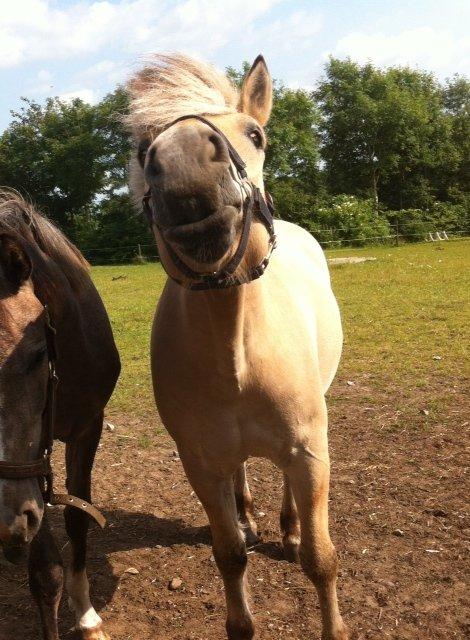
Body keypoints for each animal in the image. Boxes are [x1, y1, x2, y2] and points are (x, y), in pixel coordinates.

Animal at [126, 52, 346, 636]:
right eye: (143, 151)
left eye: (255, 134)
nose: (185, 166)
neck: (238, 356)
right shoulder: (200, 463)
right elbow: (228, 556)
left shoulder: (309, 451)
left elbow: (321, 559)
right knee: (241, 472)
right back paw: (249, 518)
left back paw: (288, 530)